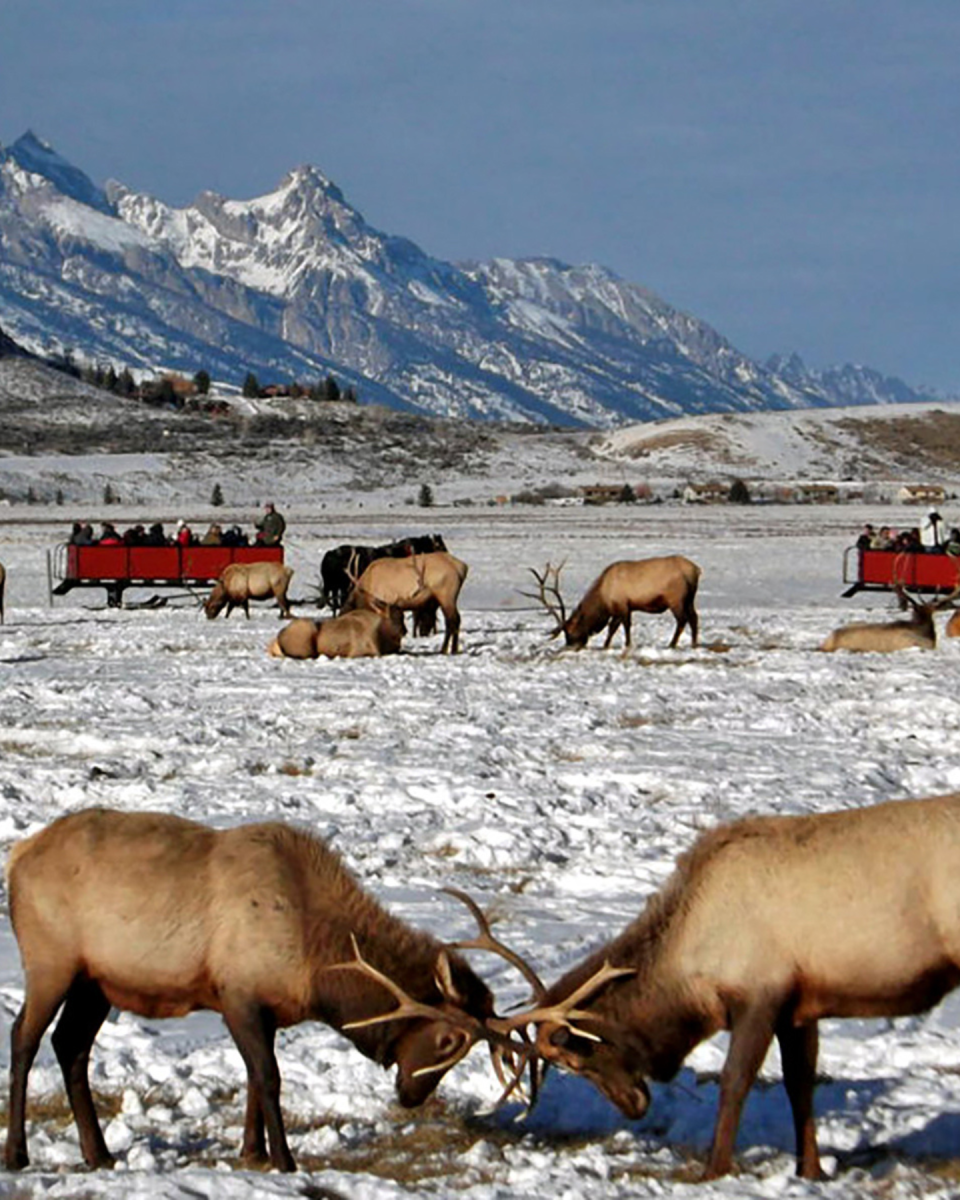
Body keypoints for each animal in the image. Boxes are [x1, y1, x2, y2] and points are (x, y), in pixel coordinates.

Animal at [4, 808, 535, 1172]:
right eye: (448, 1040)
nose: (410, 1096)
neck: (315, 967)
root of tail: (18, 857)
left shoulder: (267, 1008)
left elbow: (256, 1080)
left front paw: (252, 1152)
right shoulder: (237, 995)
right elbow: (269, 1077)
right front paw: (284, 1160)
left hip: (97, 982)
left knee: (70, 1045)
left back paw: (99, 1154)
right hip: (51, 962)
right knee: (25, 1039)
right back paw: (17, 1154)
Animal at [495, 790, 960, 1180]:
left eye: (576, 1060)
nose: (632, 1107)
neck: (689, 969)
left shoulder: (760, 994)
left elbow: (734, 1082)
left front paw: (713, 1170)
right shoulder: (800, 1006)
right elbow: (800, 1085)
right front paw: (809, 1171)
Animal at [526, 556, 701, 650]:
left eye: (570, 631)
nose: (570, 646)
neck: (603, 598)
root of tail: (696, 570)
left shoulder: (622, 605)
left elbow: (622, 626)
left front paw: (626, 645)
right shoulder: (620, 609)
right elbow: (613, 628)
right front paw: (606, 645)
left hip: (676, 598)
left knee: (682, 620)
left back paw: (672, 644)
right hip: (689, 598)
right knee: (694, 617)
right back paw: (694, 643)